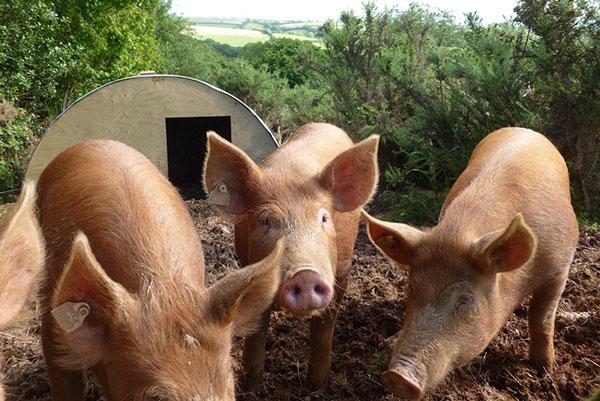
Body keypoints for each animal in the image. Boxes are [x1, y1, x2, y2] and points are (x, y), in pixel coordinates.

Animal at [202, 122, 380, 388]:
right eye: (266, 220)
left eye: (323, 218)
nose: (305, 275)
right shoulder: (249, 264)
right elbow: (257, 331)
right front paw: (251, 385)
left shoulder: (342, 272)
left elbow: (323, 331)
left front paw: (317, 387)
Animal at [364, 127, 580, 396]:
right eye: (411, 288)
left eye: (465, 299)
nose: (397, 376)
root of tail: (523, 129)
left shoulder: (559, 268)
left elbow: (541, 318)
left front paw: (543, 369)